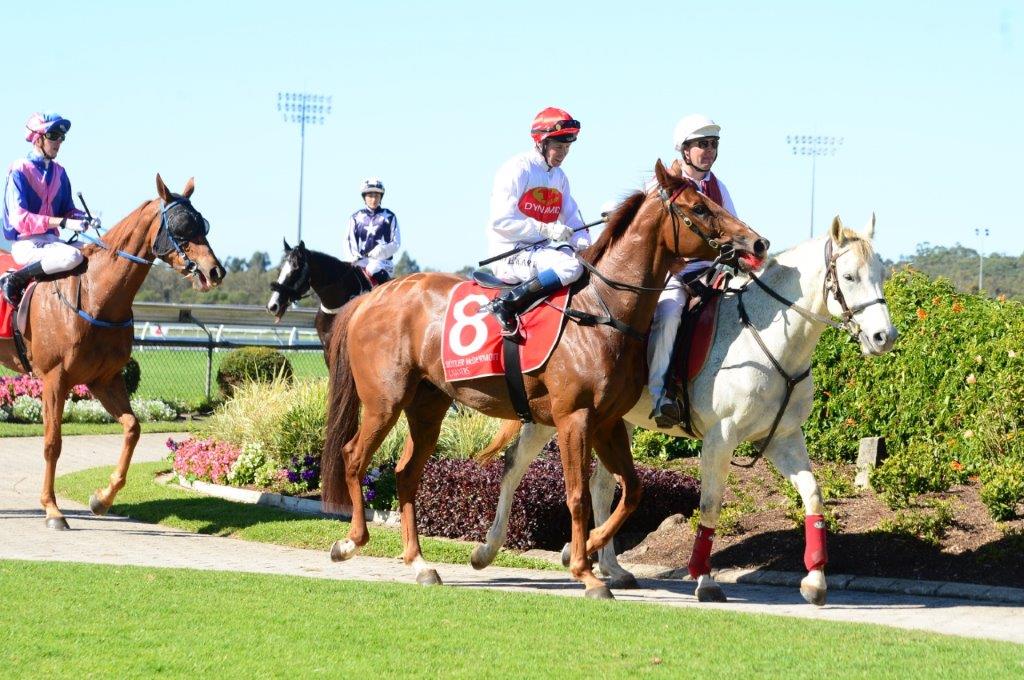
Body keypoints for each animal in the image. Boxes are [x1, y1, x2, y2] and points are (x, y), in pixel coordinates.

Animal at [0, 175, 226, 530]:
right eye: (180, 226)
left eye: (202, 223)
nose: (214, 271)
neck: (96, 295)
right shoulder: (54, 378)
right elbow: (52, 443)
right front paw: (52, 509)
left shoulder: (104, 379)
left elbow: (133, 428)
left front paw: (102, 498)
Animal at [321, 160, 769, 598]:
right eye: (699, 208)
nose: (757, 243)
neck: (603, 310)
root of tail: (370, 298)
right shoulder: (575, 418)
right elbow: (578, 495)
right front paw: (586, 572)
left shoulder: (607, 421)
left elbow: (631, 490)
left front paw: (586, 551)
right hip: (384, 401)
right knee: (353, 456)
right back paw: (349, 543)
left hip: (427, 405)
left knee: (405, 472)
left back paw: (420, 564)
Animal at [471, 215, 897, 606]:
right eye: (849, 276)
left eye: (881, 274)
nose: (884, 337)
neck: (768, 341)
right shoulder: (720, 439)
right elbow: (709, 505)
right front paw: (704, 578)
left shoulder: (784, 438)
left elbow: (813, 495)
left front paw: (815, 580)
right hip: (556, 418)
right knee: (515, 464)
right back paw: (488, 549)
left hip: (611, 422)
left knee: (602, 486)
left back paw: (608, 566)